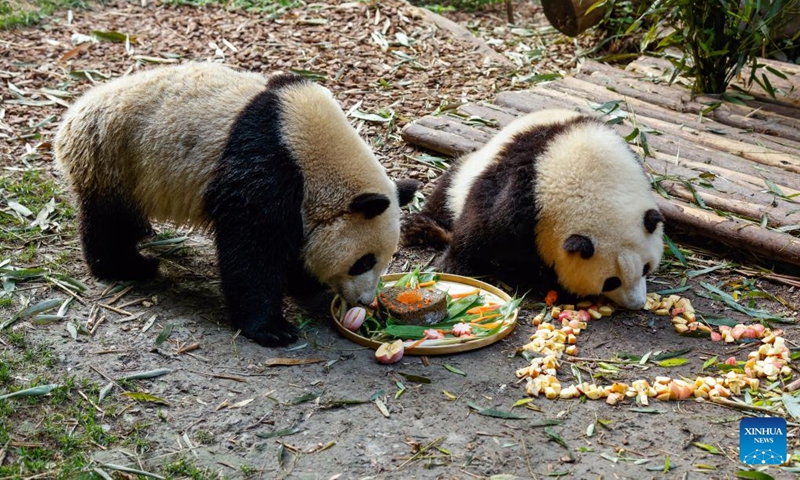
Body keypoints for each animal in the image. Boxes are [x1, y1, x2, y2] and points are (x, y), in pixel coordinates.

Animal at [54, 62, 418, 346]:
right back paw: (126, 266)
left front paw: (305, 282)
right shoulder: (268, 170)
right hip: (115, 156)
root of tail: (71, 117)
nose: (365, 301)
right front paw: (273, 329)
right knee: (108, 219)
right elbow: (252, 248)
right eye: (363, 262)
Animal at [404, 108, 664, 310]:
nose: (636, 303)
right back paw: (424, 228)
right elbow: (484, 224)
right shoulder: (525, 190)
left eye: (646, 268)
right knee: (447, 191)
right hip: (469, 169)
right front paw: (454, 266)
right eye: (612, 281)